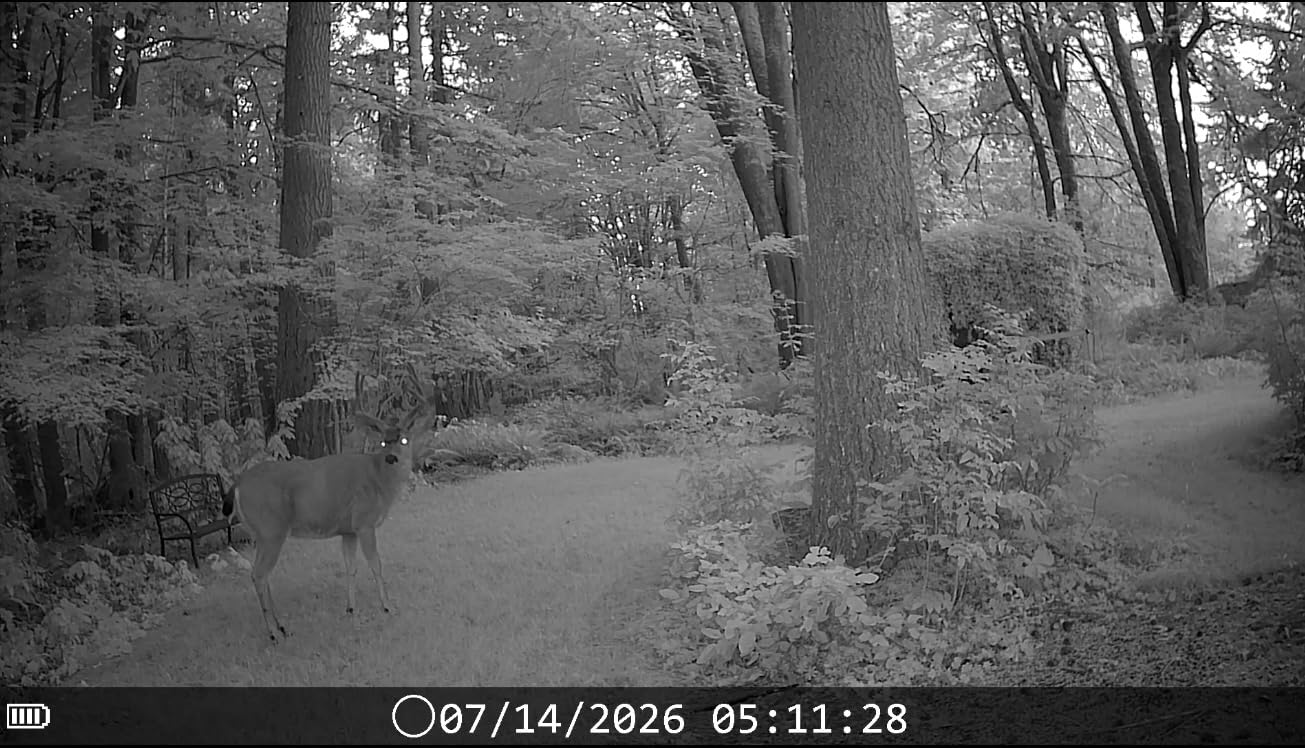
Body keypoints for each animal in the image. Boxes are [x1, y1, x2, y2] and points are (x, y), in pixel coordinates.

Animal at [222, 397, 438, 643]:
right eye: (383, 442)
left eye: (404, 439)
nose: (392, 457)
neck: (380, 481)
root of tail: (237, 485)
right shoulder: (364, 522)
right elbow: (376, 564)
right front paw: (387, 606)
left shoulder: (348, 530)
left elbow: (351, 567)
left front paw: (351, 609)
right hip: (271, 530)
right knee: (258, 574)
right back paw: (274, 633)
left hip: (260, 534)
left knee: (262, 574)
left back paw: (282, 626)